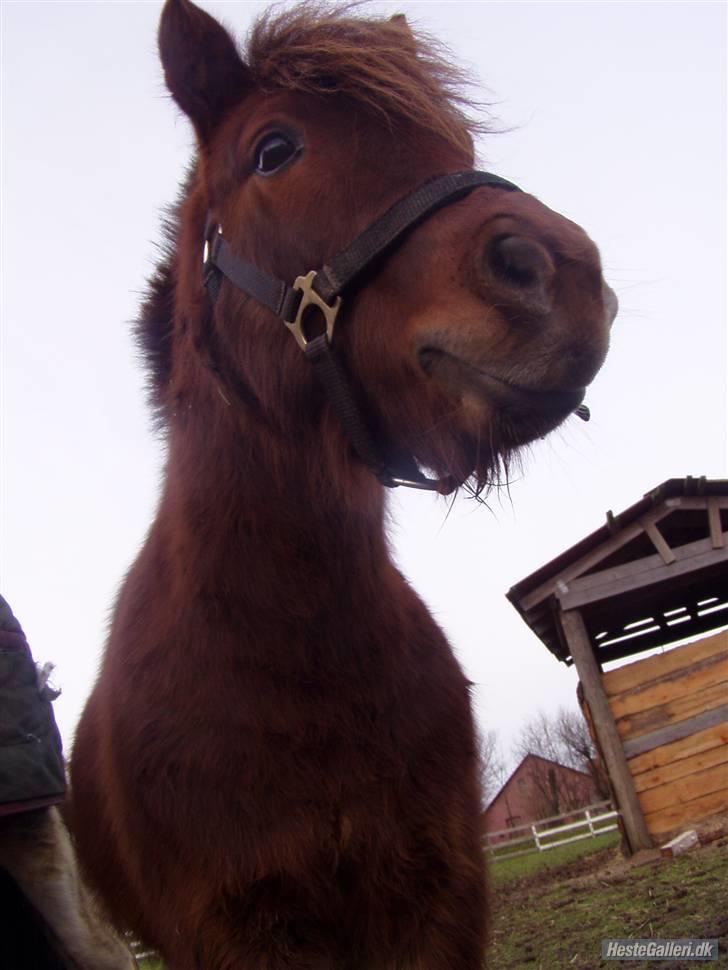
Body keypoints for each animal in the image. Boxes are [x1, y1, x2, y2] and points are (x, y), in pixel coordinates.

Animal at [69, 3, 616, 964]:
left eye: (458, 140)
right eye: (273, 150)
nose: (563, 272)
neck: (301, 654)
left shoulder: (438, 897)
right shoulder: (231, 930)